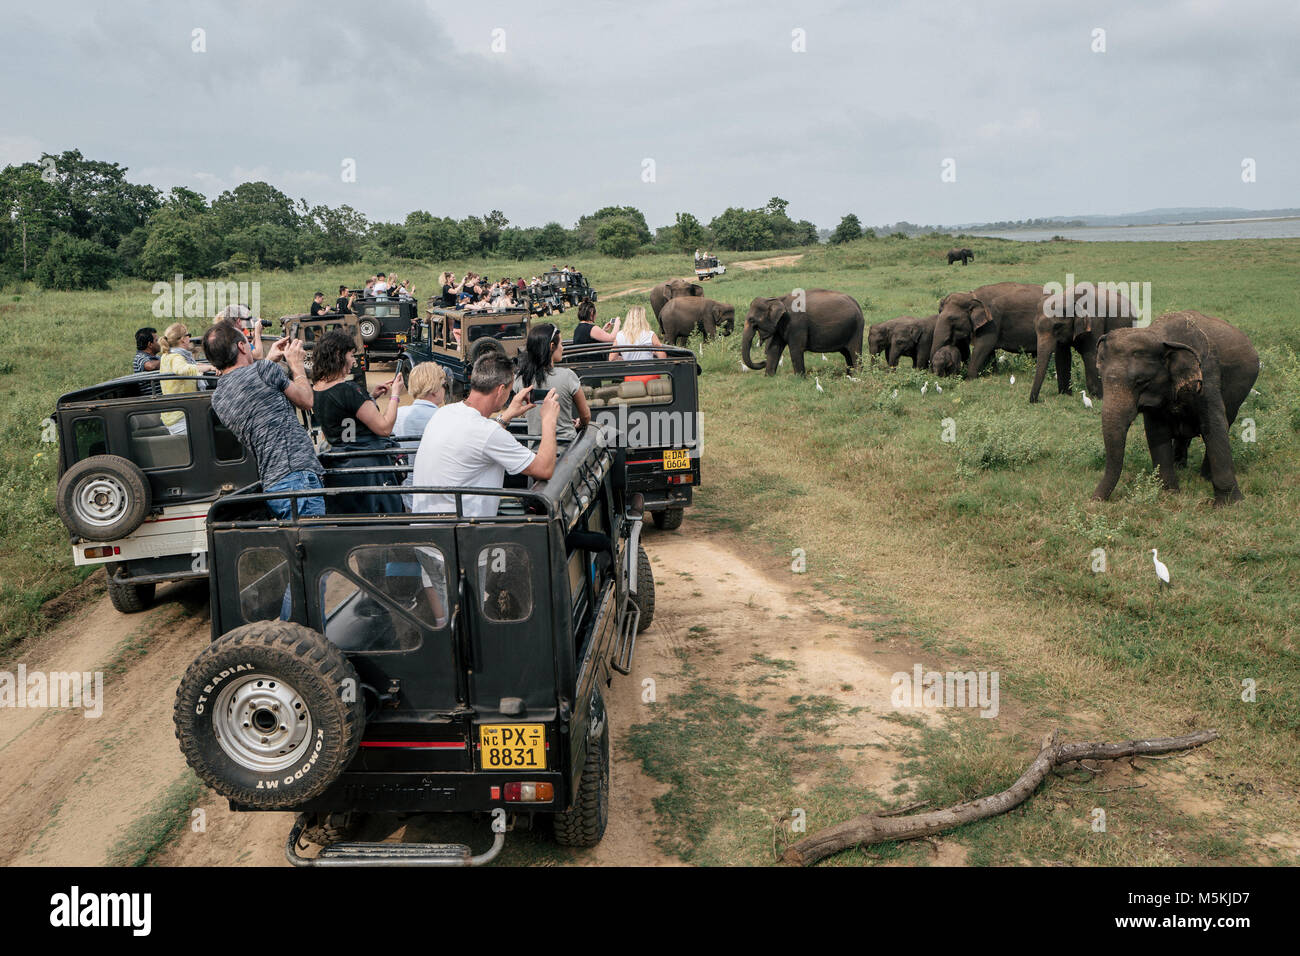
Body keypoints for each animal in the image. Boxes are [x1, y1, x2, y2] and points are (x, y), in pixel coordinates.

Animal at [1086, 312, 1258, 509]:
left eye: (1141, 382)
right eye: (1102, 378)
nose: (1093, 501)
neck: (1160, 336)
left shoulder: (1207, 373)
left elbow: (1213, 425)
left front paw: (1230, 505)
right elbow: (1157, 431)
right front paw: (1169, 494)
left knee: (1226, 421)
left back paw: (1204, 477)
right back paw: (1180, 467)